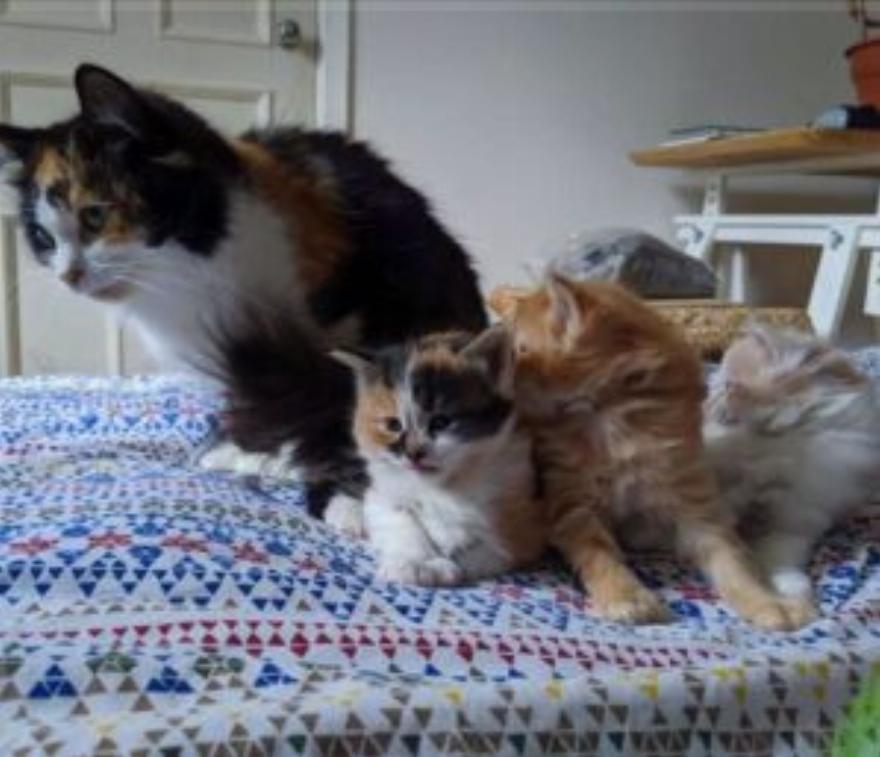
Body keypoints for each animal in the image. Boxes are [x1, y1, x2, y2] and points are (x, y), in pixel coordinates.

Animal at [0, 64, 487, 521]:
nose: (69, 275)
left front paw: (349, 497)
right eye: (42, 238)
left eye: (95, 216)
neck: (186, 281)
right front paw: (247, 451)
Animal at [336, 330, 547, 586]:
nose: (413, 453)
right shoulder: (382, 493)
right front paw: (417, 563)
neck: (445, 484)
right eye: (393, 425)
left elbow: (495, 544)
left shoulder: (526, 508)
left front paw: (456, 554)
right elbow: (400, 520)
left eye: (441, 422)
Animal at [490, 275, 811, 630]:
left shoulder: (696, 504)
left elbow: (733, 560)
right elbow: (599, 552)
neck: (612, 419)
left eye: (518, 352)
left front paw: (766, 602)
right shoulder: (570, 505)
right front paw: (626, 595)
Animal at [704, 322, 880, 612]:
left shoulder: (792, 525)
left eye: (729, 381)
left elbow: (783, 564)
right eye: (722, 384)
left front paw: (796, 597)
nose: (722, 391)